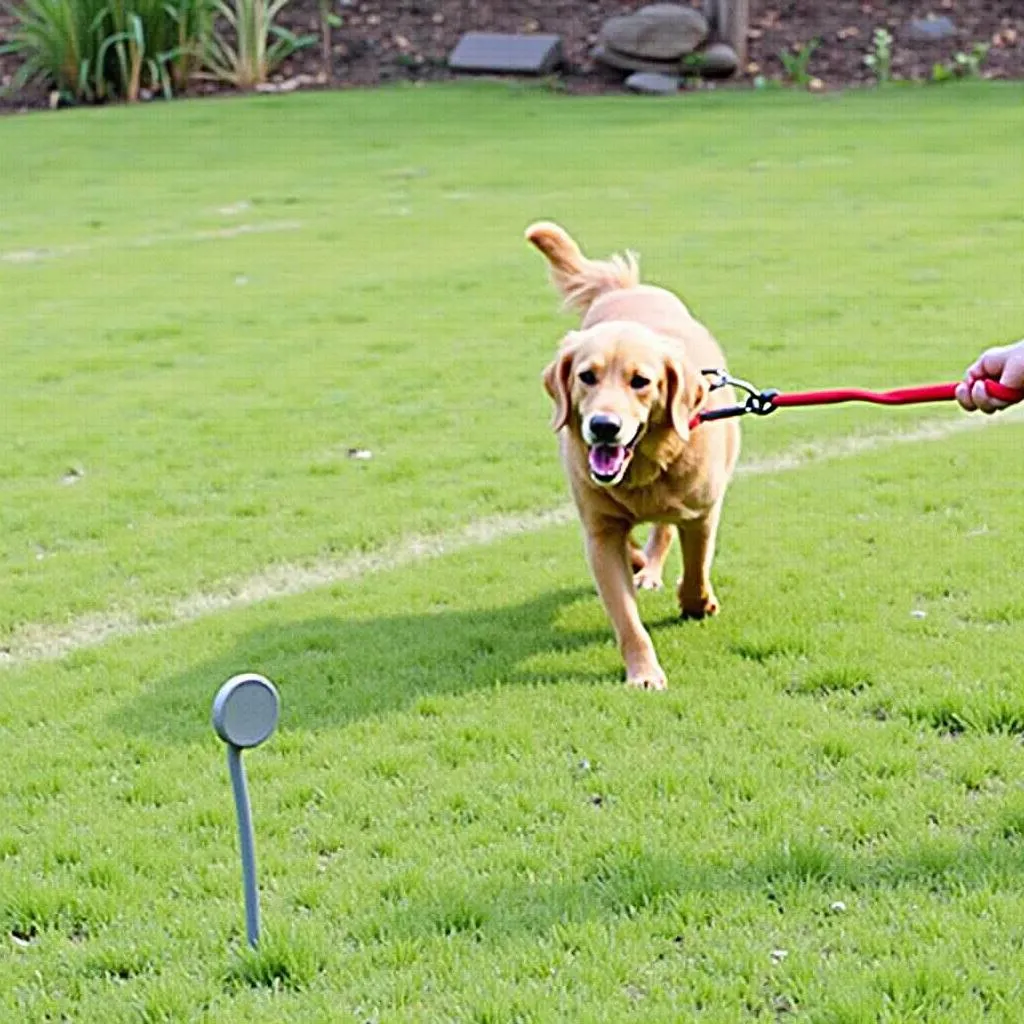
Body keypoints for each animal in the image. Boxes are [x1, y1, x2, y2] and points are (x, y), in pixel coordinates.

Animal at [528, 221, 737, 692]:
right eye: (586, 376)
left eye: (640, 381)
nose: (604, 426)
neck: (641, 471)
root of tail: (628, 288)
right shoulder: (600, 530)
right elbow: (626, 618)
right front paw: (643, 672)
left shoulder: (702, 511)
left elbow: (696, 568)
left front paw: (698, 603)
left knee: (665, 531)